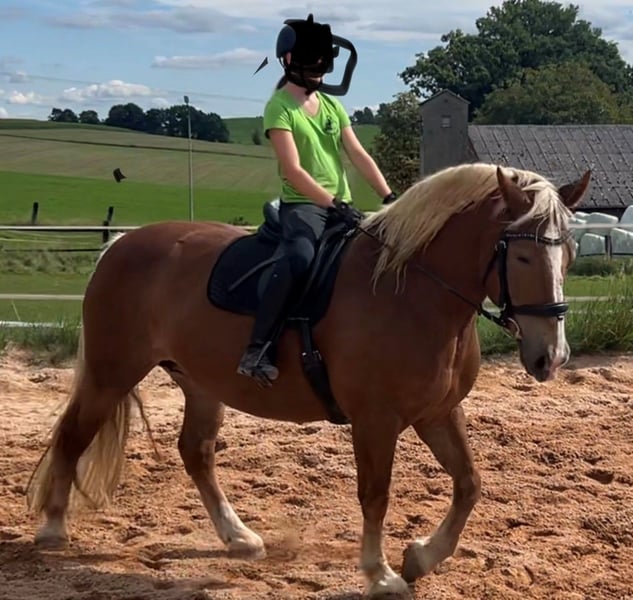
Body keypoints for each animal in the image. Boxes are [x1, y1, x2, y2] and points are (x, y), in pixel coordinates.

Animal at [25, 162, 590, 598]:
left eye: (568, 254)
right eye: (522, 255)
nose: (551, 356)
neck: (412, 292)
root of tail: (121, 245)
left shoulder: (438, 412)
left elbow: (470, 484)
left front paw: (420, 558)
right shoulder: (376, 420)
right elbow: (376, 494)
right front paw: (381, 575)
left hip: (201, 384)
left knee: (196, 452)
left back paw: (238, 537)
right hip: (111, 373)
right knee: (73, 435)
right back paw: (53, 527)